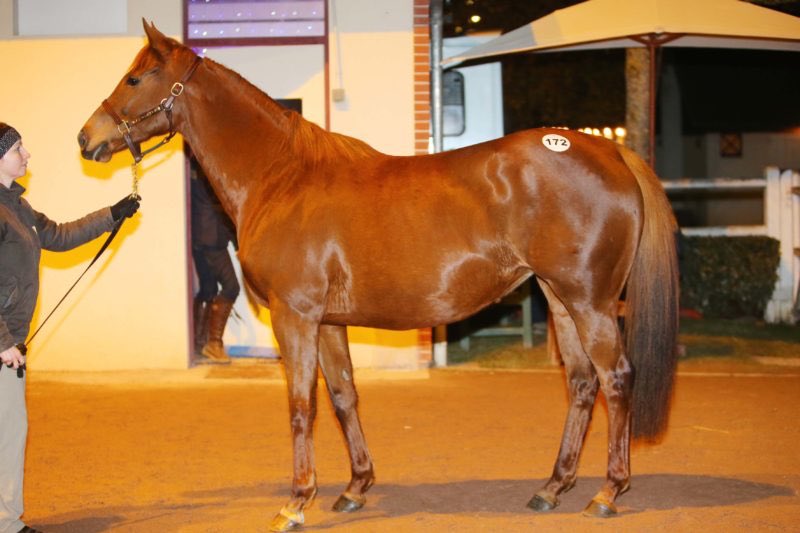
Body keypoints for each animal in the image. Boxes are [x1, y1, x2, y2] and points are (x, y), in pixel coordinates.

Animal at [78, 21, 679, 531]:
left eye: (135, 77)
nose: (86, 138)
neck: (281, 177)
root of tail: (608, 149)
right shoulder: (327, 322)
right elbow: (344, 397)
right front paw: (355, 488)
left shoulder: (296, 317)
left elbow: (302, 406)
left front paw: (297, 502)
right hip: (560, 299)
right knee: (581, 383)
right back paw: (553, 487)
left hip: (591, 302)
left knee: (616, 379)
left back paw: (607, 493)